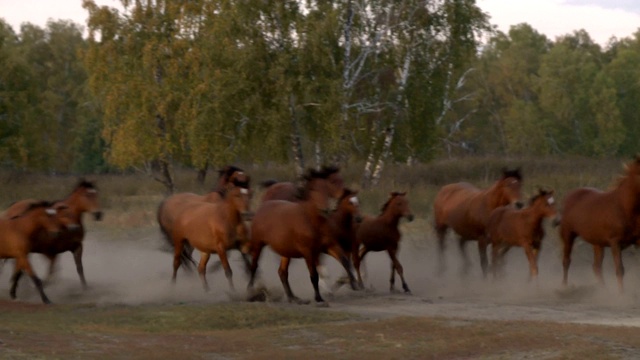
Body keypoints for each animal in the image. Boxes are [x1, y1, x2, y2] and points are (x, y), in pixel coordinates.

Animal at [246, 167, 356, 306]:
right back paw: (250, 292)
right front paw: (319, 298)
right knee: (254, 266)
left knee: (282, 272)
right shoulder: (308, 252)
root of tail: (262, 206)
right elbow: (314, 275)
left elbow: (345, 261)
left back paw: (293, 298)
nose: (326, 209)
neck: (312, 221)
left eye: (326, 188)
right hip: (258, 244)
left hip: (286, 252)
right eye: (314, 190)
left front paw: (353, 282)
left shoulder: (327, 247)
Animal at [556, 158, 640, 292]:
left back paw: (603, 289)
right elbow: (619, 270)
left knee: (596, 267)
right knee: (566, 261)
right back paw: (564, 287)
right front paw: (621, 294)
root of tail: (570, 195)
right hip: (568, 235)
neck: (624, 207)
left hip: (597, 243)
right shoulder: (615, 243)